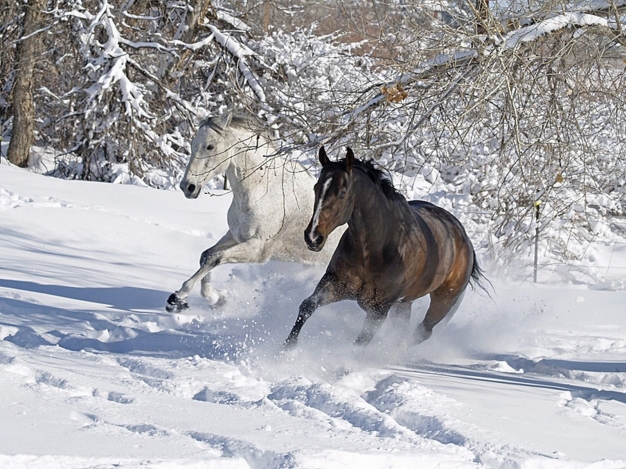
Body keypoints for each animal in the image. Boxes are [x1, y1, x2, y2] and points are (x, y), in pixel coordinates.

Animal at [166, 112, 342, 312]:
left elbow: (215, 258)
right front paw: (215, 299)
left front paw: (178, 298)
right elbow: (206, 255)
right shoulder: (236, 236)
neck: (262, 188)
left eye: (210, 146)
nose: (187, 187)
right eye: (193, 144)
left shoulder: (258, 249)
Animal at [282, 146, 482, 348]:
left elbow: (360, 342)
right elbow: (307, 306)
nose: (313, 237)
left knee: (422, 332)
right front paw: (287, 348)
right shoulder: (335, 284)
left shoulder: (378, 310)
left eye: (342, 193)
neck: (377, 250)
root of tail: (464, 239)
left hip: (443, 302)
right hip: (403, 304)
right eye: (316, 188)